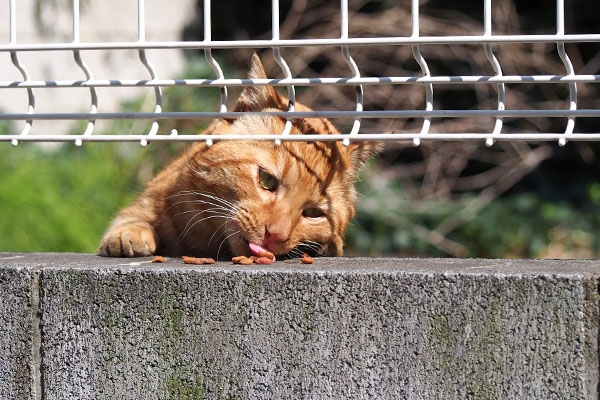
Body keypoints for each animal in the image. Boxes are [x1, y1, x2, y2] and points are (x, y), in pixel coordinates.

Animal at [99, 53, 380, 260]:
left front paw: (326, 246)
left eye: (313, 213)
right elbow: (133, 217)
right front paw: (129, 235)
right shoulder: (148, 201)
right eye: (267, 180)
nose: (275, 235)